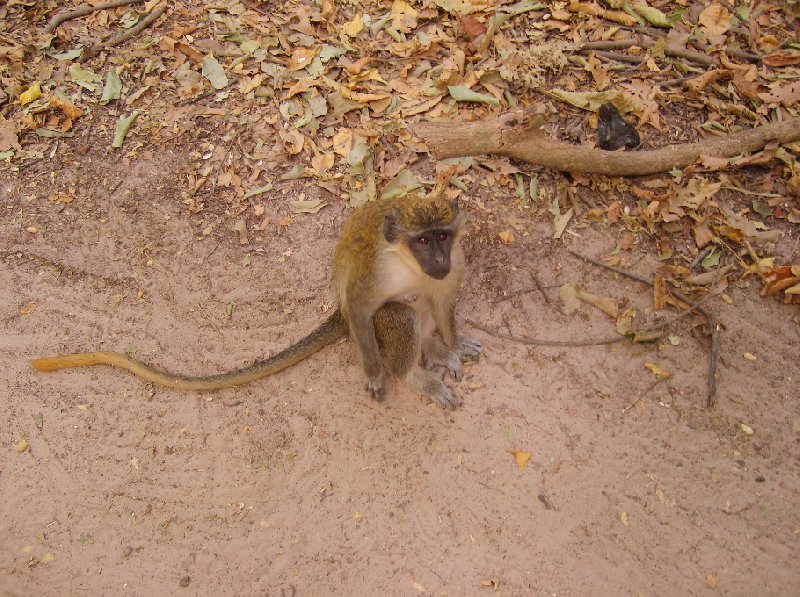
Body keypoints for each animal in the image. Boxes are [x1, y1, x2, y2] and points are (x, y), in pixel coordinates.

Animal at [29, 193, 482, 408]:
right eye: (422, 241)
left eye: (442, 237)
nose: (438, 260)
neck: (410, 264)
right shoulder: (378, 272)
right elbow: (362, 306)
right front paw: (375, 373)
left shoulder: (456, 262)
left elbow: (445, 302)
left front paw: (454, 342)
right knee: (398, 312)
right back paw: (416, 372)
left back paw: (436, 350)